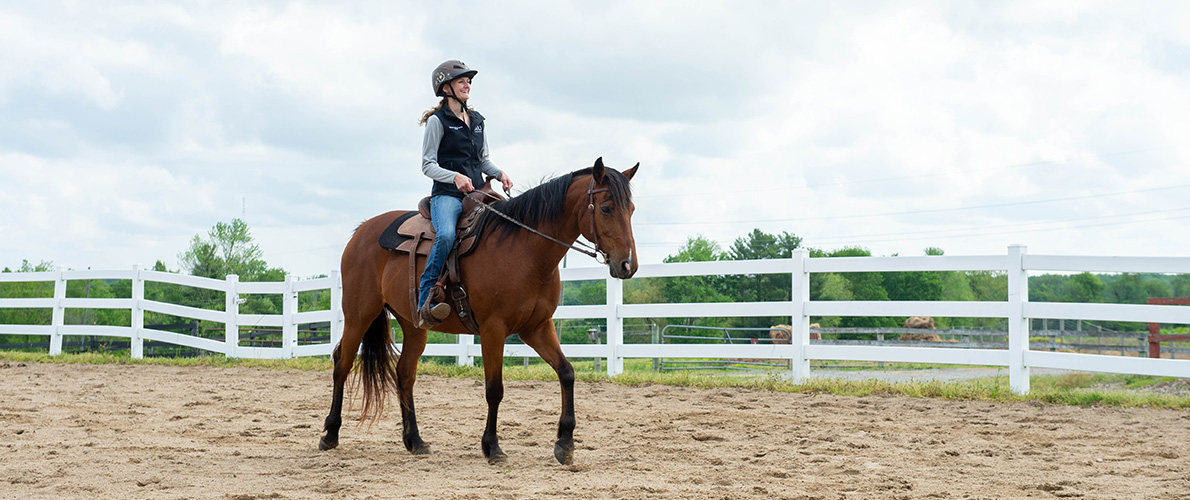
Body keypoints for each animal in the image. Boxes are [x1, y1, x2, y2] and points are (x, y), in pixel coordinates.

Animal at [314, 157, 633, 464]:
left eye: (631, 209)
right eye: (606, 208)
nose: (628, 265)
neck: (524, 248)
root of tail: (361, 231)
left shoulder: (537, 327)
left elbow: (566, 372)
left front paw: (565, 444)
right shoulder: (494, 329)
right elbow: (495, 389)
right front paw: (492, 447)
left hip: (413, 325)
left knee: (404, 373)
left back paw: (415, 441)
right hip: (359, 314)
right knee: (342, 363)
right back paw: (330, 434)